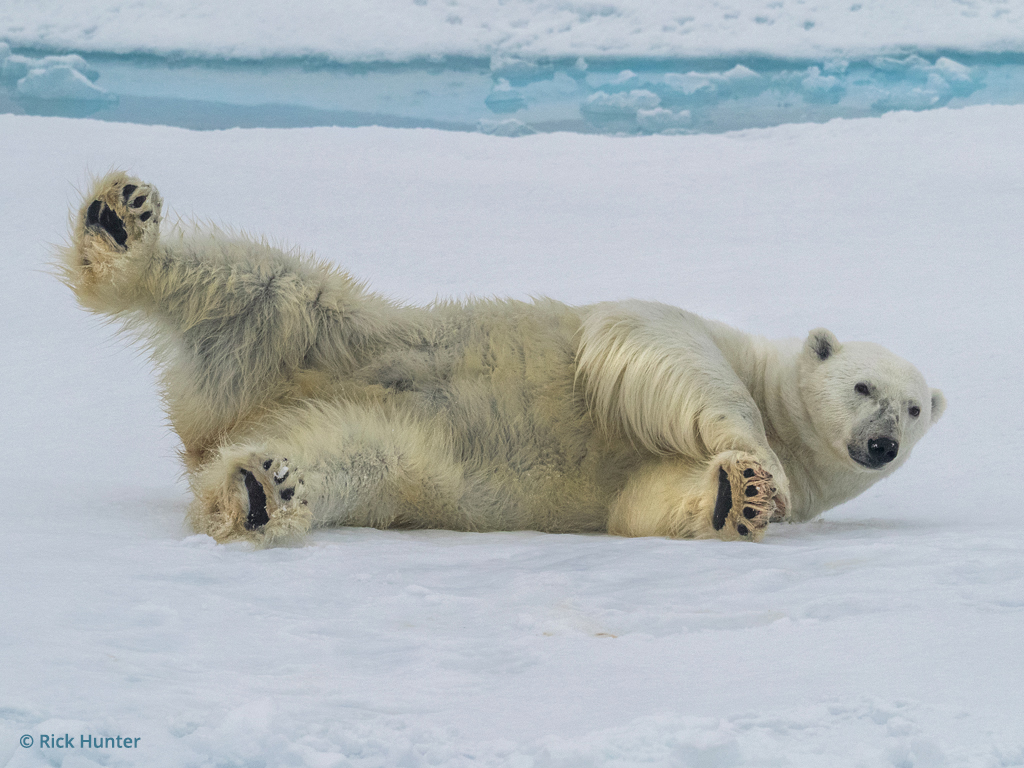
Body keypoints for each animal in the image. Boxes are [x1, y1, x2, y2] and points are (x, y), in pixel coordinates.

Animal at [60, 171, 946, 546]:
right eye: (862, 384)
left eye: (912, 410)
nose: (880, 443)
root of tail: (215, 422)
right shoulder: (684, 327)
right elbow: (665, 351)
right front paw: (757, 460)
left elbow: (647, 498)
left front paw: (742, 496)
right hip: (332, 335)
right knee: (261, 285)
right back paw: (118, 226)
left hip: (379, 440)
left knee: (335, 453)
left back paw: (256, 491)